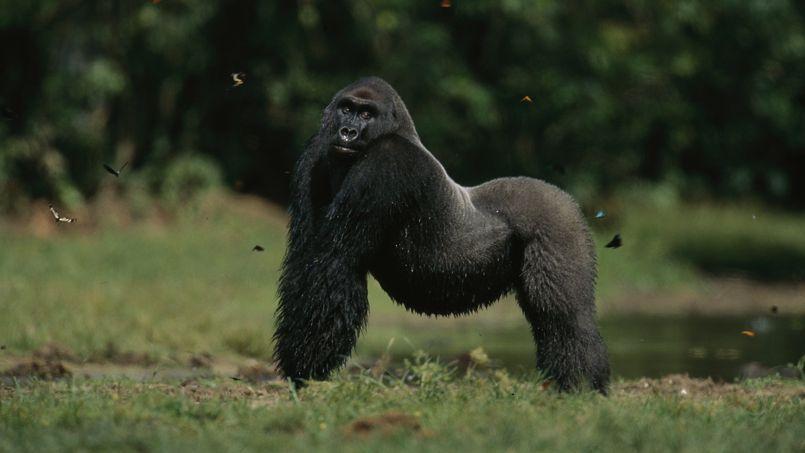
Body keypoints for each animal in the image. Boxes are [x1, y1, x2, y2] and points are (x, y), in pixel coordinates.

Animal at [274, 77, 608, 392]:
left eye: (366, 114)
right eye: (346, 109)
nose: (347, 132)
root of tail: (566, 198)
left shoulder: (387, 162)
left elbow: (336, 264)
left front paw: (305, 371)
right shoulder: (316, 151)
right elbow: (306, 258)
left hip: (558, 223)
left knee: (566, 318)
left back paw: (581, 386)